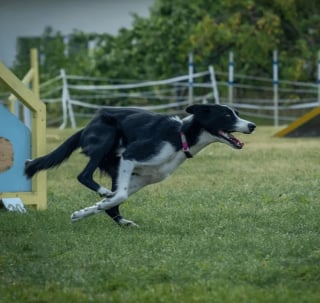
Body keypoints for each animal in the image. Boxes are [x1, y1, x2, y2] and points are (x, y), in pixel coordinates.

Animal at [24, 104, 255, 226]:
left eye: (236, 113)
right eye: (226, 115)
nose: (252, 125)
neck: (180, 136)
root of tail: (86, 127)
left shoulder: (142, 178)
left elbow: (114, 200)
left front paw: (85, 211)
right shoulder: (130, 155)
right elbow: (119, 196)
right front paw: (101, 202)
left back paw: (120, 220)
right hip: (107, 137)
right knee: (84, 175)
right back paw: (104, 193)